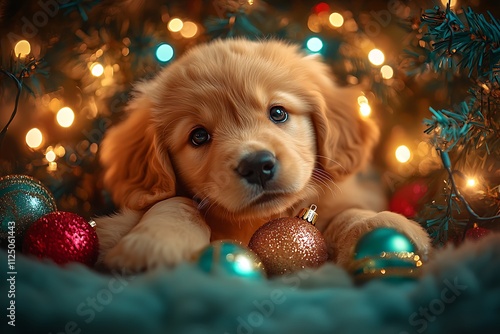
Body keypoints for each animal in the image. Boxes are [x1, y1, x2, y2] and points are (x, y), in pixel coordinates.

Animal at [96, 38, 430, 272]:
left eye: (278, 112)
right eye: (199, 136)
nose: (257, 166)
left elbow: (345, 212)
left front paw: (381, 228)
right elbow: (177, 203)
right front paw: (156, 242)